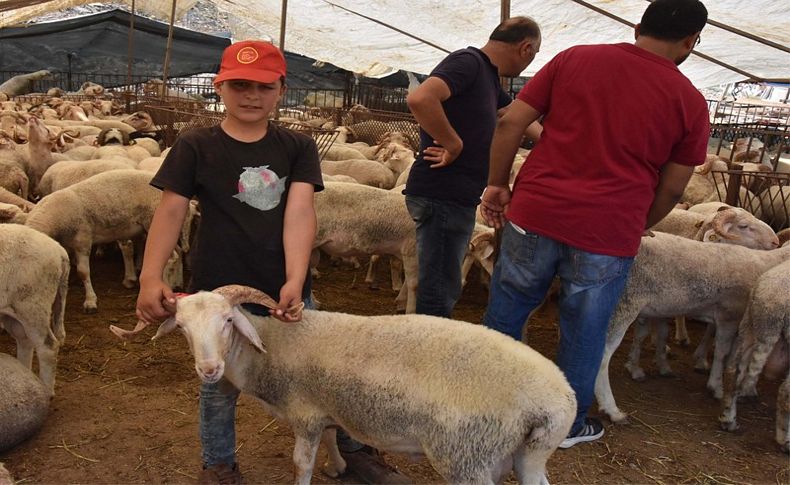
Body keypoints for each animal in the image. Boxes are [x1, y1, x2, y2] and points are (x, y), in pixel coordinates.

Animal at [0, 221, 69, 396]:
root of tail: (60, 251)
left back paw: (46, 392)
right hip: (15, 312)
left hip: (34, 307)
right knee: (25, 342)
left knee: (48, 348)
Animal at [113, 284, 576, 484]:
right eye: (183, 328)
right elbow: (335, 437)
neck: (273, 346)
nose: (208, 369)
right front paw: (338, 468)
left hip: (467, 457)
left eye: (228, 320)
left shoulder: (305, 415)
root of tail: (557, 400)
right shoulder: (328, 406)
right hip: (529, 455)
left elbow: (301, 463)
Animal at [592, 232, 790, 424]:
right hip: (622, 305)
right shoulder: (729, 317)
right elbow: (722, 353)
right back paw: (612, 410)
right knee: (602, 357)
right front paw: (716, 387)